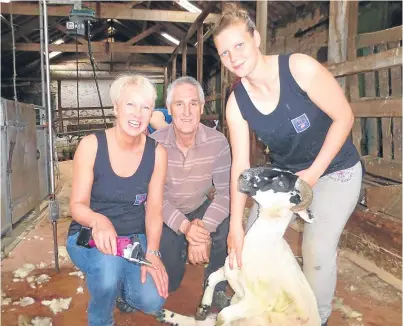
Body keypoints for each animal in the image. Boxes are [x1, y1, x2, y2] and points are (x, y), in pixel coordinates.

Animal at [158, 167, 322, 324]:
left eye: (281, 184)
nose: (244, 175)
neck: (262, 247)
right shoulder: (229, 271)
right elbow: (211, 278)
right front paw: (203, 307)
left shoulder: (256, 303)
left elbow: (222, 316)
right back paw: (164, 314)